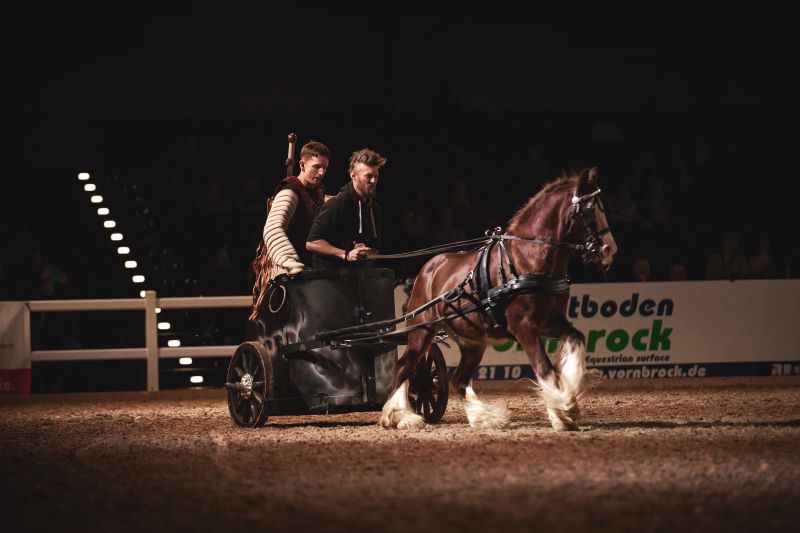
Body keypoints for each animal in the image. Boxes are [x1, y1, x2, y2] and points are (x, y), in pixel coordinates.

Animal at [379, 167, 618, 431]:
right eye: (589, 210)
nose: (609, 249)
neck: (529, 257)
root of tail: (426, 270)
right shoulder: (523, 326)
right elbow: (544, 367)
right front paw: (562, 411)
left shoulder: (550, 321)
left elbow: (576, 339)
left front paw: (569, 399)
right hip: (422, 330)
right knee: (405, 367)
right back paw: (399, 415)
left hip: (472, 341)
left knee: (459, 379)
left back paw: (484, 418)